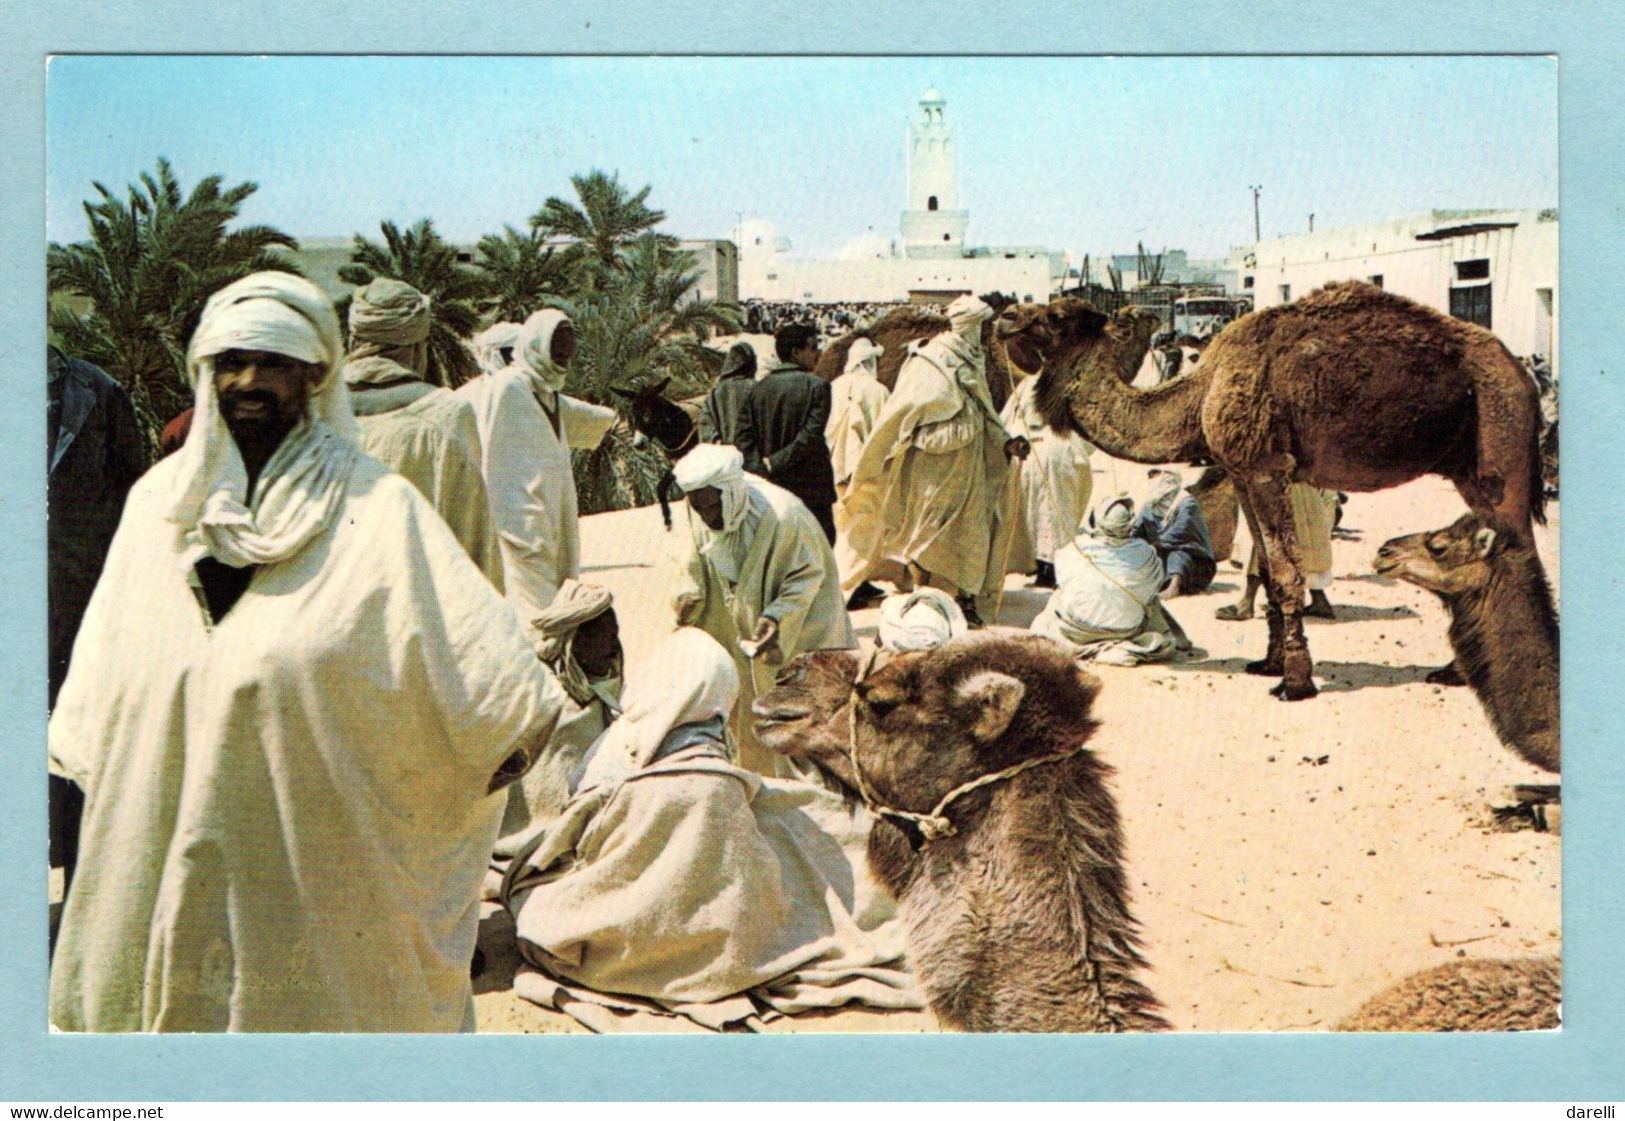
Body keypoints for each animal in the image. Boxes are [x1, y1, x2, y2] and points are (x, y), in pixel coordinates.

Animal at [994, 279, 1540, 698]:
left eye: (1056, 314)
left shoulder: (1265, 469)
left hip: (1500, 440)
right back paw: (1454, 671)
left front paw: (1295, 682)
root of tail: (1523, 375)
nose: (1005, 316)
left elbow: (1284, 571)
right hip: (1469, 468)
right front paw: (1268, 663)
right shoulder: (1241, 473)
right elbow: (1268, 570)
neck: (1200, 394)